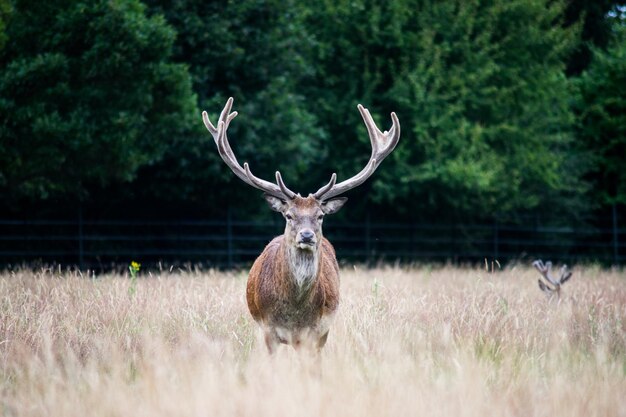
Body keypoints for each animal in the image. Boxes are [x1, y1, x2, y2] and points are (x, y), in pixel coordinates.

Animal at [204, 96, 400, 352]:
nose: (306, 236)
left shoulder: (314, 333)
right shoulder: (268, 330)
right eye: (288, 215)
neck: (294, 312)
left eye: (320, 215)